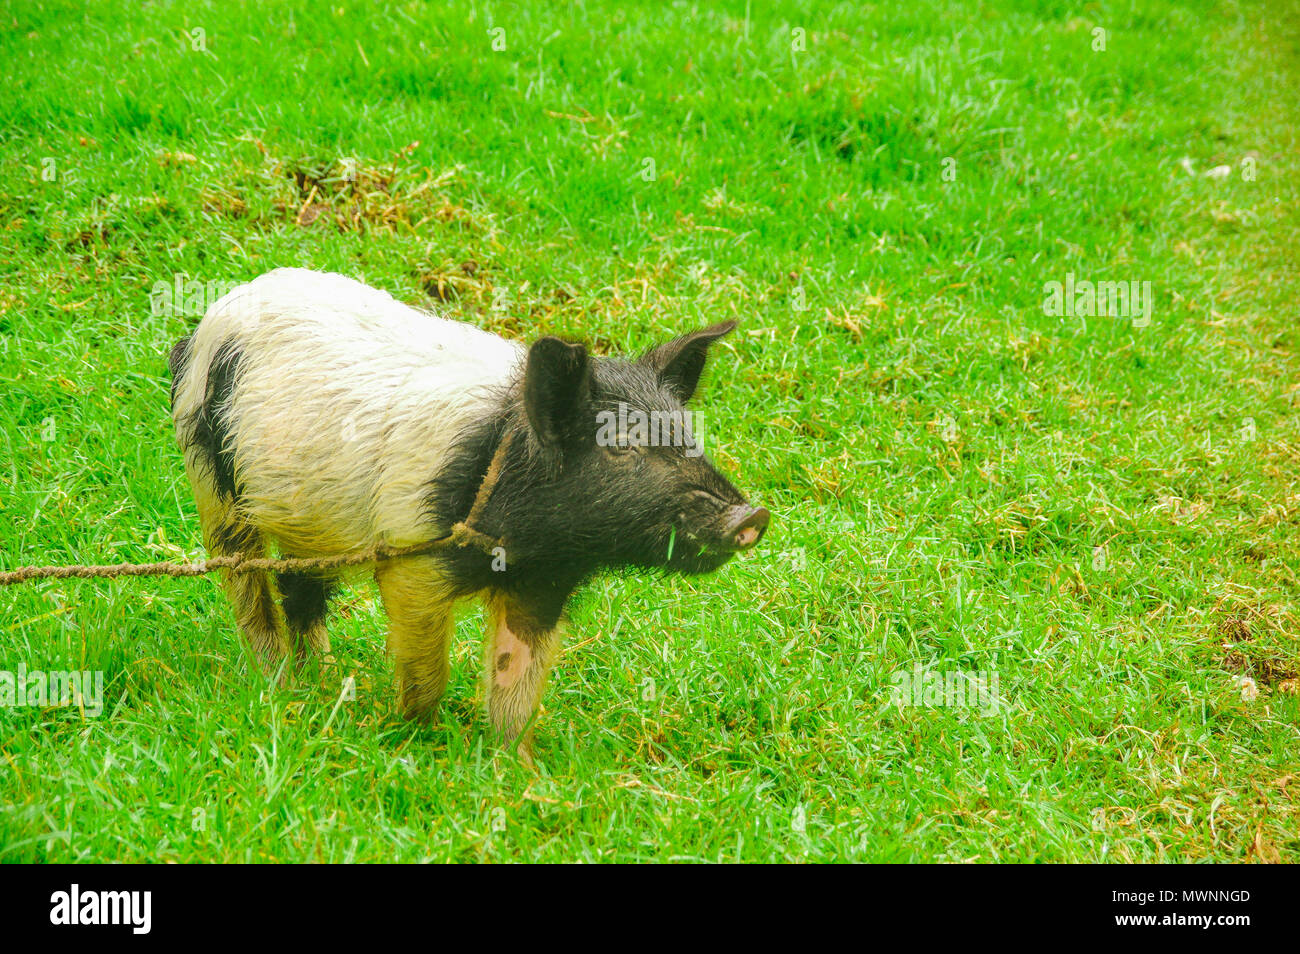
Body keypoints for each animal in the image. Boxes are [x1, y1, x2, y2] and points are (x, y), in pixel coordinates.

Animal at [166, 269, 764, 764]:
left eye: (687, 434)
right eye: (620, 445)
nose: (751, 513)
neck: (526, 541)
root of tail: (203, 328)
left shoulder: (544, 582)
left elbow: (517, 678)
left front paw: (520, 772)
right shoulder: (411, 553)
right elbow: (426, 666)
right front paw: (417, 742)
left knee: (302, 589)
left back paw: (323, 684)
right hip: (209, 476)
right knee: (247, 584)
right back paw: (279, 687)